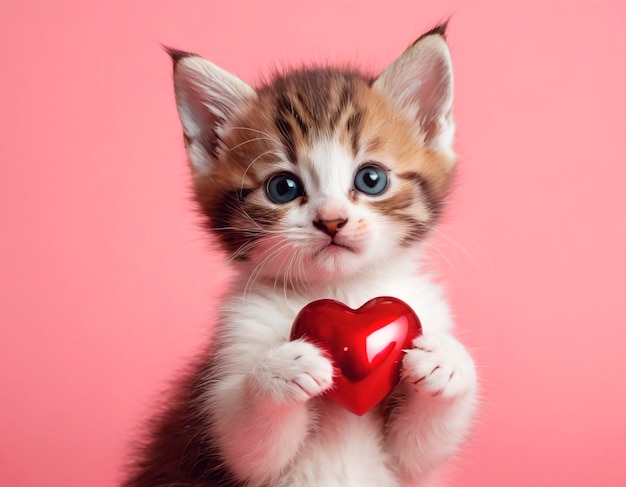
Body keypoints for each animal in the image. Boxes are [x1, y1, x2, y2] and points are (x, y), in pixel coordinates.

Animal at [124, 21, 476, 487]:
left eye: (371, 179)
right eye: (283, 187)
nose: (331, 220)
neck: (343, 290)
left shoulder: (410, 455)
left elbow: (420, 448)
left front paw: (449, 362)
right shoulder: (234, 347)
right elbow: (249, 442)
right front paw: (279, 370)